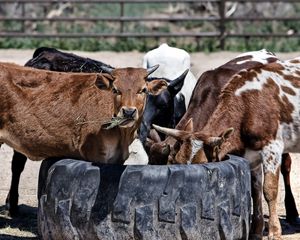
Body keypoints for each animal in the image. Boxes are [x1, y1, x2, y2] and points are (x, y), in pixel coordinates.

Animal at [152, 52, 300, 238]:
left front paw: (274, 232)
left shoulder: (271, 148)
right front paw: (256, 230)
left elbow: (269, 190)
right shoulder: (251, 155)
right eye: (176, 163)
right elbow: (255, 189)